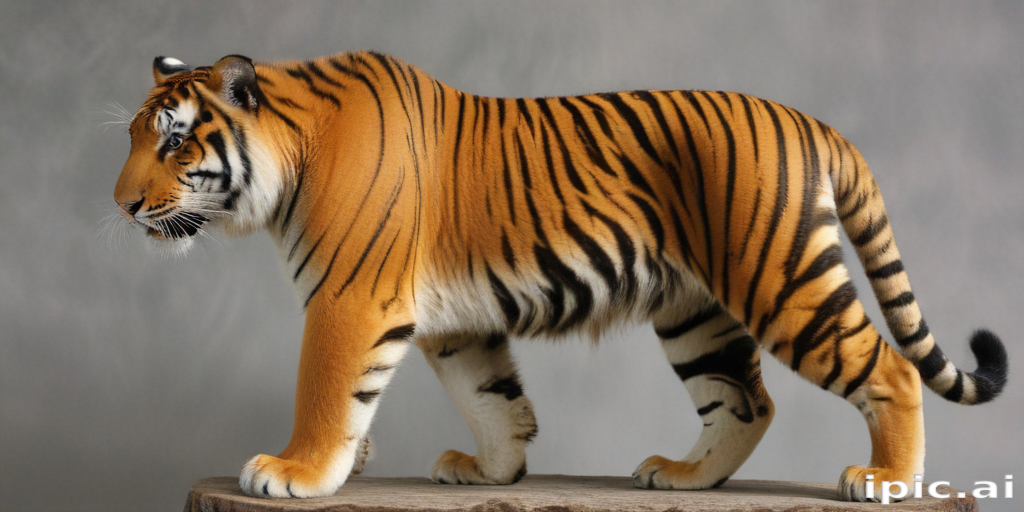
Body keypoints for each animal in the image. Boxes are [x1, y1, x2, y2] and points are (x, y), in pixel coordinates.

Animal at [113, 52, 1007, 501]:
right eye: (134, 136)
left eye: (174, 142)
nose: (120, 205)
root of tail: (814, 122)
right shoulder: (455, 322)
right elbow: (492, 398)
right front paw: (494, 473)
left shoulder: (350, 299)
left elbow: (327, 390)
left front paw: (294, 470)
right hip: (697, 312)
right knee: (747, 401)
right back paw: (683, 476)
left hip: (781, 282)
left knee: (889, 369)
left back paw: (886, 480)